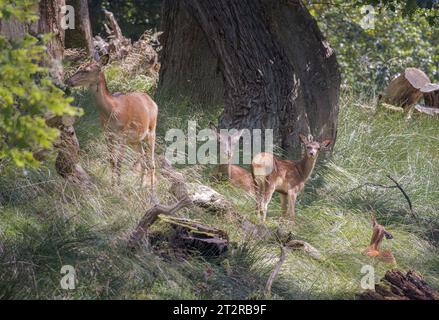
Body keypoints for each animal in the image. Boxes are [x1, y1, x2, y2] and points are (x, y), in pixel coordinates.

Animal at [66, 52, 159, 198]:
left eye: (86, 70)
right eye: (80, 67)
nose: (68, 81)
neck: (113, 111)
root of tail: (152, 102)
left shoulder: (123, 134)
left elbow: (119, 162)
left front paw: (118, 189)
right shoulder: (107, 134)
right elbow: (112, 161)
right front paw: (112, 186)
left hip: (151, 130)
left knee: (152, 162)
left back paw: (152, 192)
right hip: (135, 141)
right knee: (143, 160)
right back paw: (139, 188)